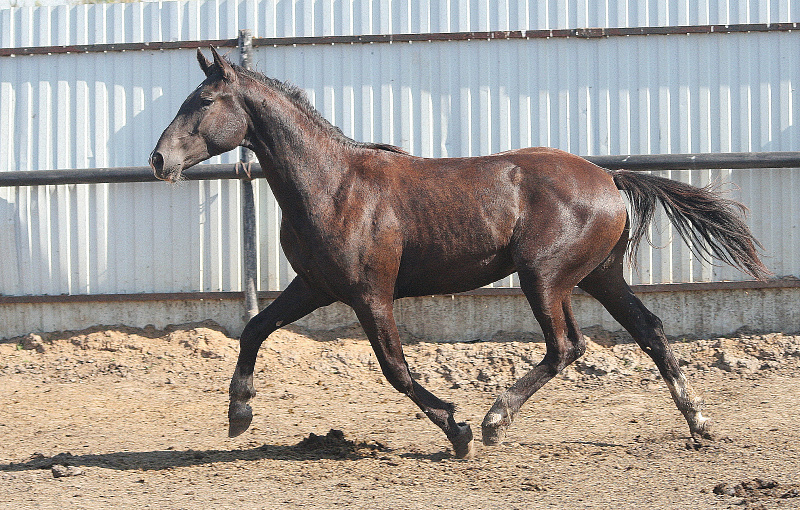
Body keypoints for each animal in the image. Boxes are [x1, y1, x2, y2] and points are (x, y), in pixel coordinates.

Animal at [150, 47, 769, 459]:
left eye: (204, 100)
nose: (158, 160)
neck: (334, 185)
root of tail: (610, 179)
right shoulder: (316, 287)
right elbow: (255, 328)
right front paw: (239, 413)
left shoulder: (369, 293)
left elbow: (395, 369)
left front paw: (459, 430)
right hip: (599, 276)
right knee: (649, 330)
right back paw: (699, 421)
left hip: (544, 277)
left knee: (567, 345)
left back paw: (495, 420)